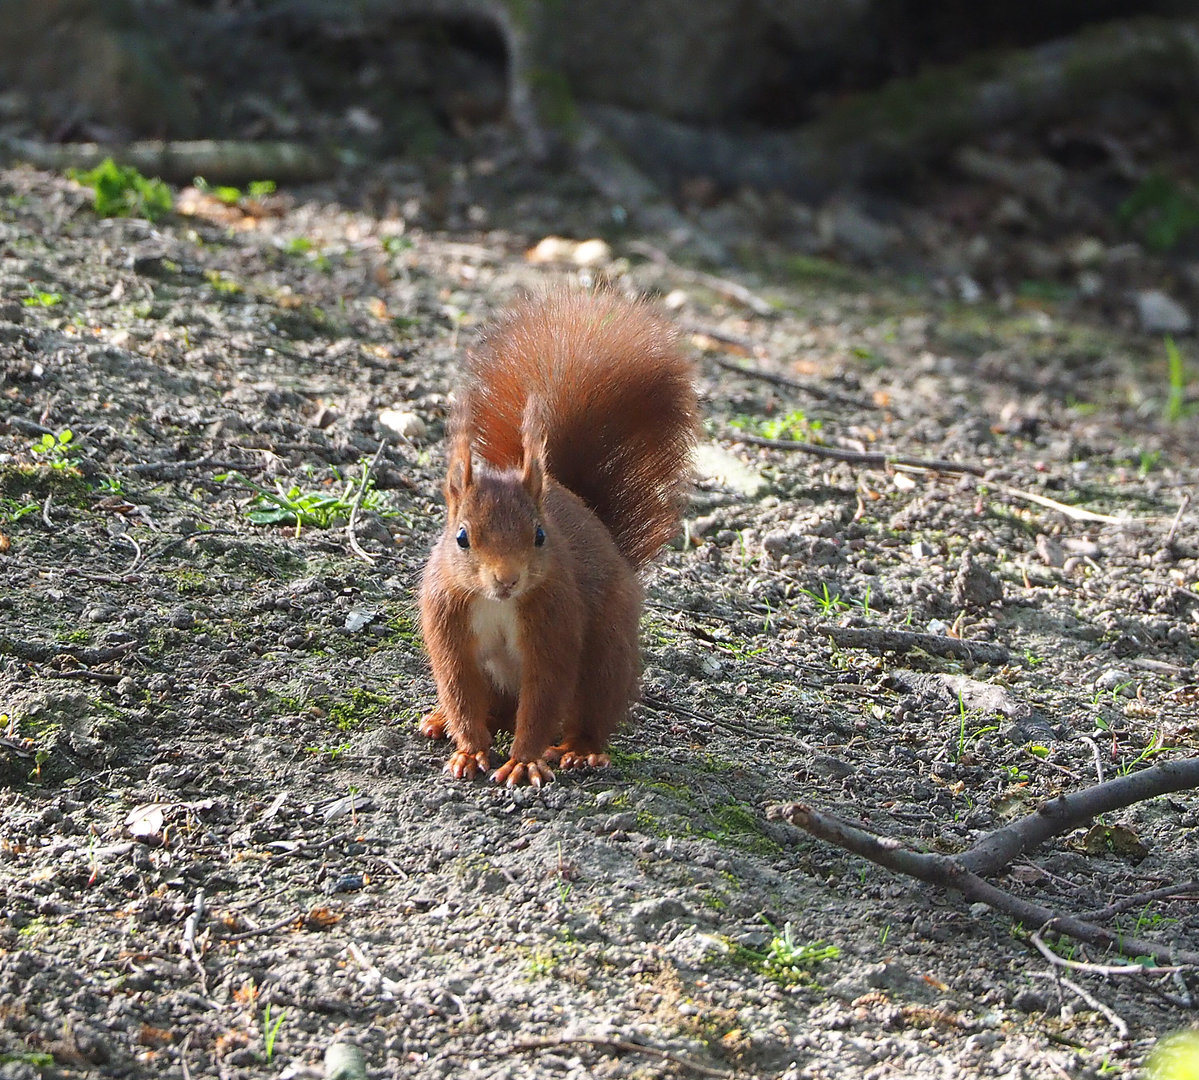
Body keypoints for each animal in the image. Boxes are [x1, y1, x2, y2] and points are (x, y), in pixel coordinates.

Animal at [419, 289, 699, 787]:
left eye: (539, 535)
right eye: (462, 537)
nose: (507, 580)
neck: (497, 604)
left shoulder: (554, 622)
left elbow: (544, 697)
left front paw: (525, 760)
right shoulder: (447, 621)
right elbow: (459, 691)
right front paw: (469, 751)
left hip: (607, 653)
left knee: (587, 710)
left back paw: (578, 750)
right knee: (490, 711)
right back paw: (440, 720)